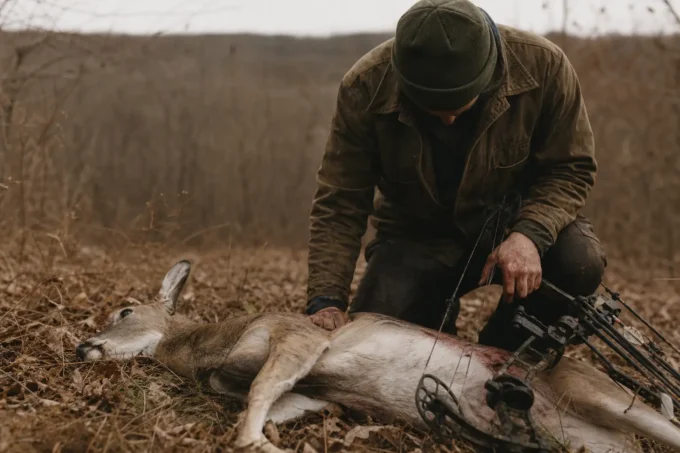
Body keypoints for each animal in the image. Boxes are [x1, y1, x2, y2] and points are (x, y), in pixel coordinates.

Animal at [75, 260, 680, 453]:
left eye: (125, 310)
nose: (83, 346)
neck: (212, 346)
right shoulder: (309, 390)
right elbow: (271, 401)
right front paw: (272, 439)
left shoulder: (299, 338)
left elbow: (256, 396)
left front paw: (260, 445)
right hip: (586, 440)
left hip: (596, 392)